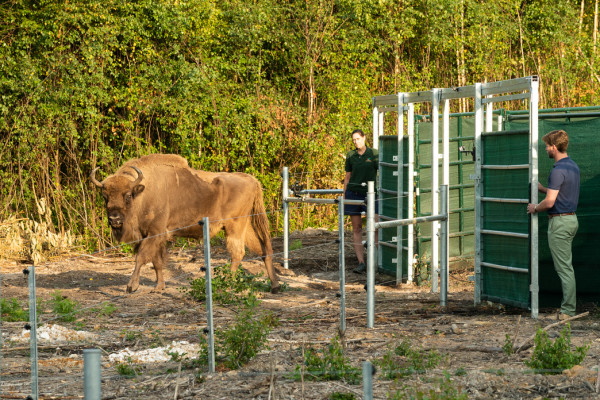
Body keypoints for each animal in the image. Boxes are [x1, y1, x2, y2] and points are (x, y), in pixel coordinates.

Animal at [91, 155, 278, 292]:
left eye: (128, 195)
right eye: (105, 197)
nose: (114, 219)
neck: (144, 192)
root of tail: (252, 180)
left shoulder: (154, 233)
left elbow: (141, 257)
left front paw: (131, 286)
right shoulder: (153, 236)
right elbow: (156, 261)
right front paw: (159, 287)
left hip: (235, 226)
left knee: (238, 253)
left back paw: (227, 285)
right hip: (244, 227)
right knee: (262, 249)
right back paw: (274, 285)